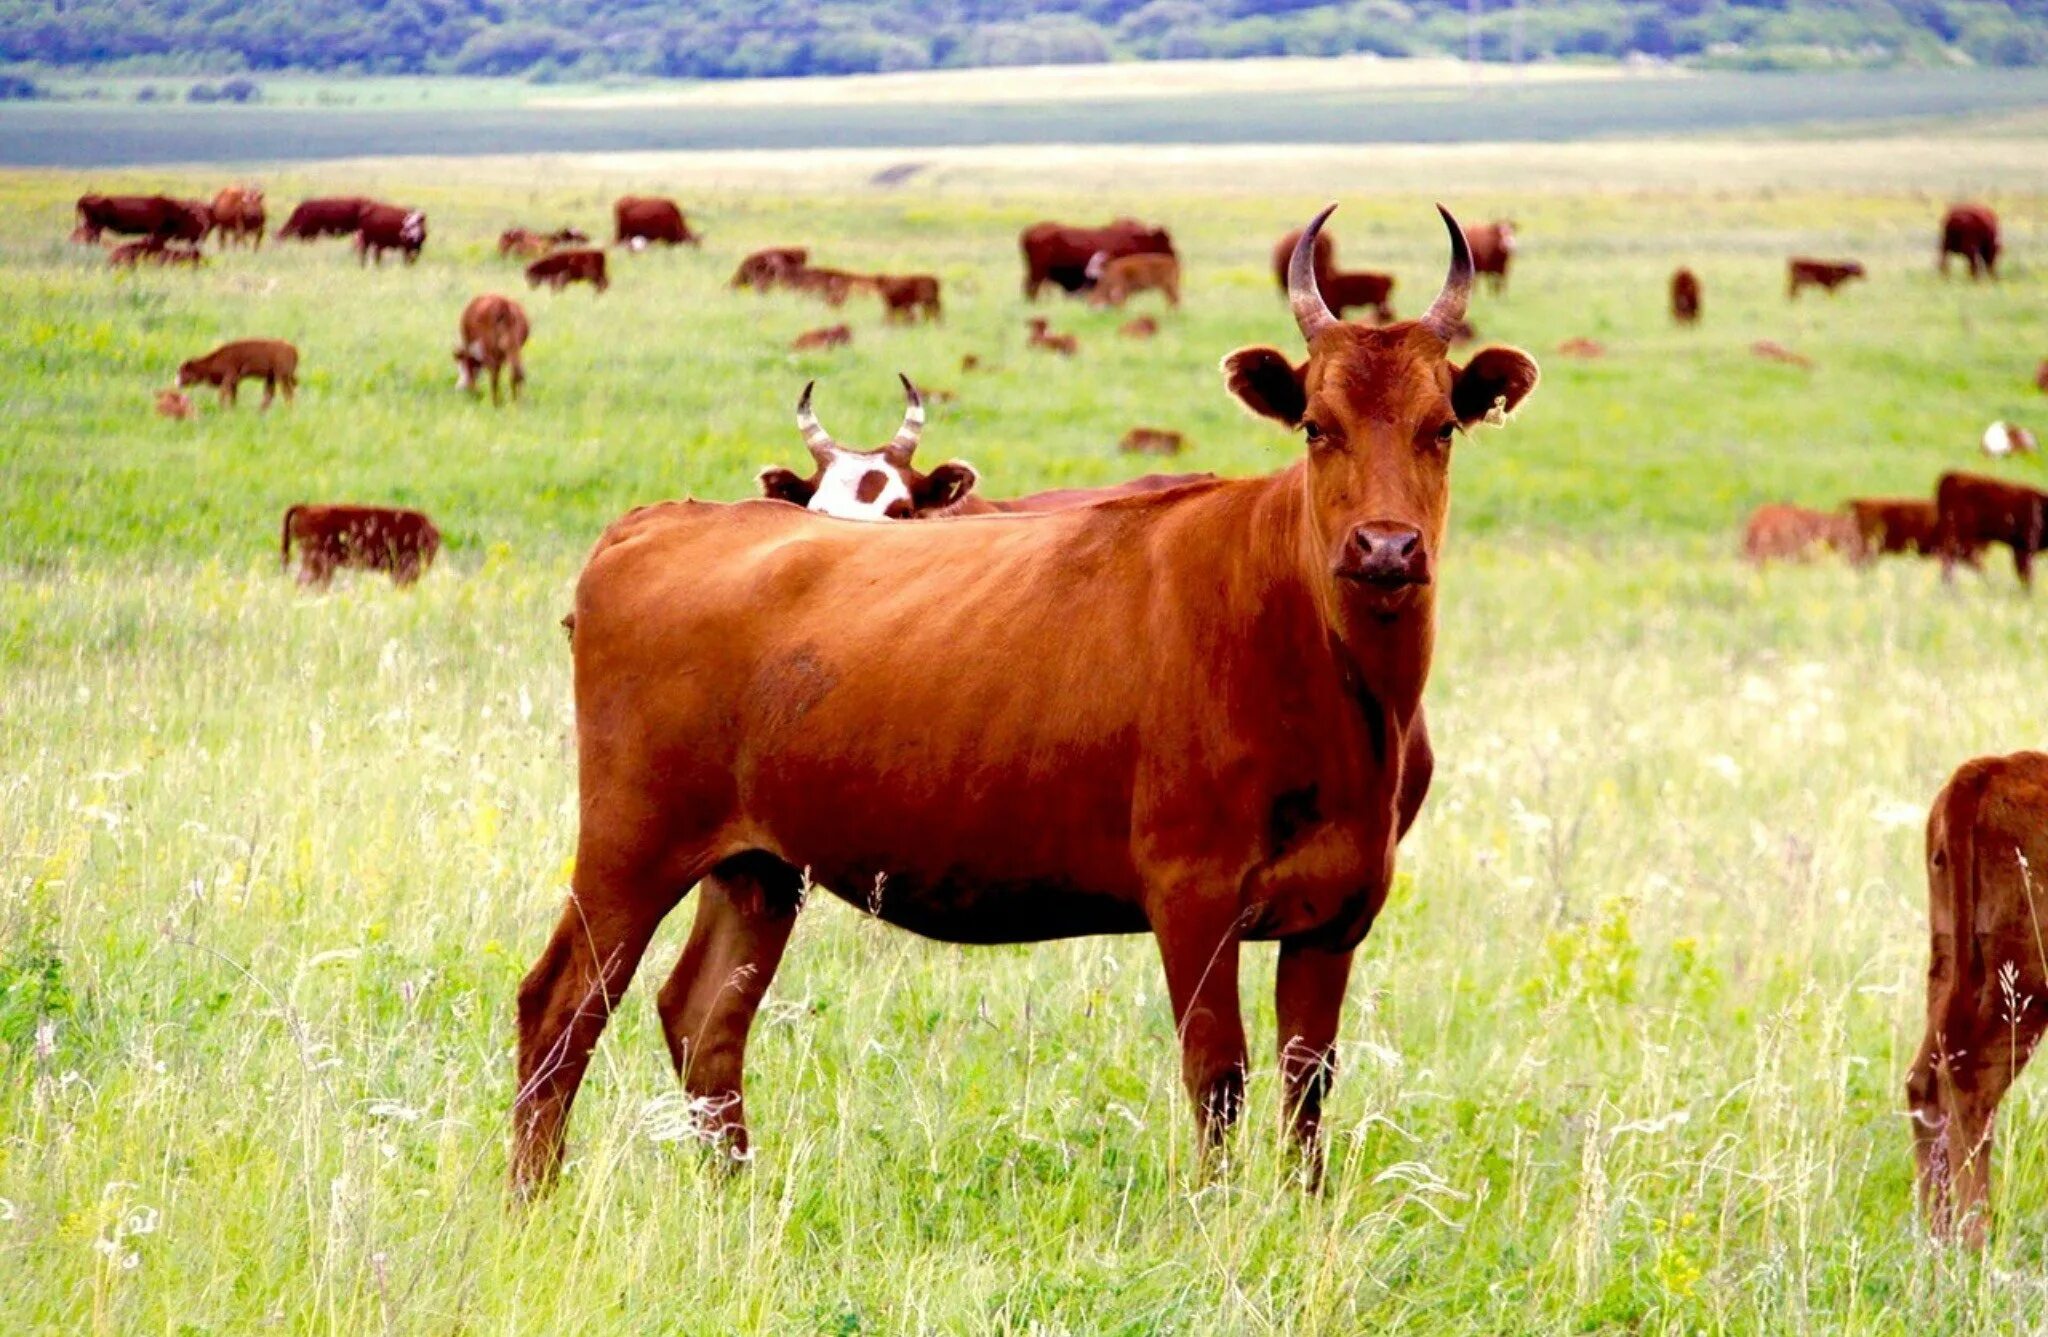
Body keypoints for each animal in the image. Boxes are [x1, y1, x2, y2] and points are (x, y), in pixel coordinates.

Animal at [1900, 745, 2048, 1244]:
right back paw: (1973, 1242)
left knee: (1925, 1083)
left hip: (1950, 965)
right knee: (1969, 1086)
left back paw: (1933, 1238)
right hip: (2021, 983)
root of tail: (1992, 767)